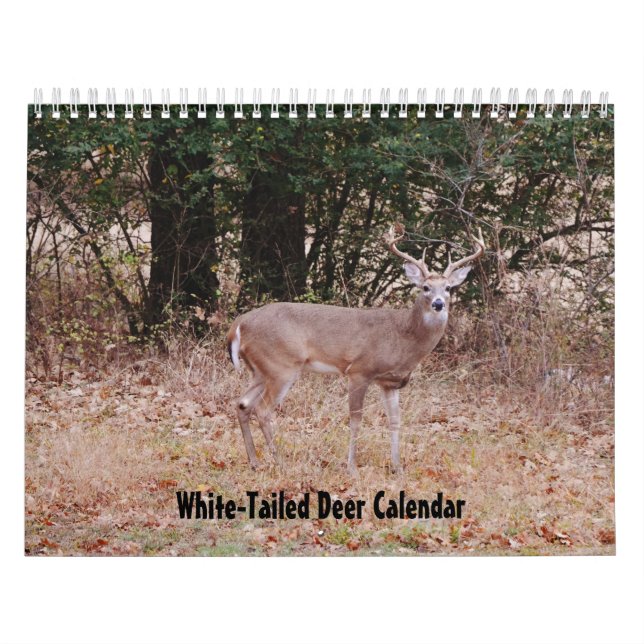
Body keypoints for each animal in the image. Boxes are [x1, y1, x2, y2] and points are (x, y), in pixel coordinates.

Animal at [226, 224, 485, 474]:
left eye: (448, 288)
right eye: (425, 287)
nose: (438, 304)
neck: (403, 337)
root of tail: (239, 324)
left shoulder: (390, 382)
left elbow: (395, 420)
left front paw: (397, 468)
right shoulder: (359, 370)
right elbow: (356, 419)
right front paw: (352, 468)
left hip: (260, 370)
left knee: (242, 404)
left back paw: (255, 462)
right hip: (281, 366)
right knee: (262, 410)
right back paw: (281, 464)